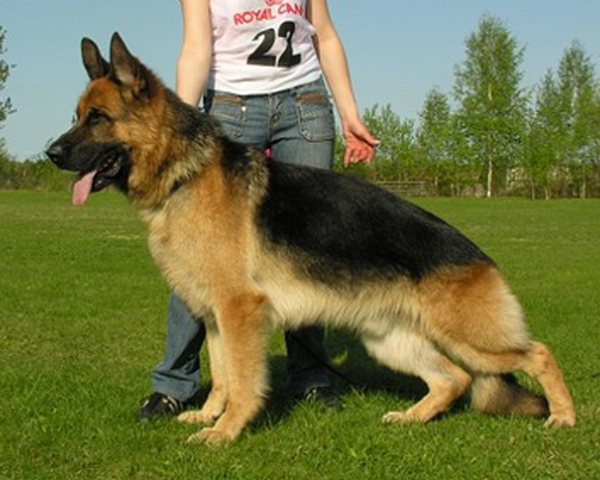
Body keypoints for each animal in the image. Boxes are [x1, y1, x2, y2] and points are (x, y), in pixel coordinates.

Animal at [47, 34, 575, 444]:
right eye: (76, 115)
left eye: (97, 117)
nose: (51, 153)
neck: (185, 174)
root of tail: (478, 255)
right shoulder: (216, 316)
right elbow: (221, 376)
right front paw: (208, 415)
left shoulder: (240, 311)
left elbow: (242, 381)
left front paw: (226, 431)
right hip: (389, 339)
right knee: (454, 379)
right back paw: (412, 417)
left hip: (466, 335)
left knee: (539, 353)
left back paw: (564, 417)